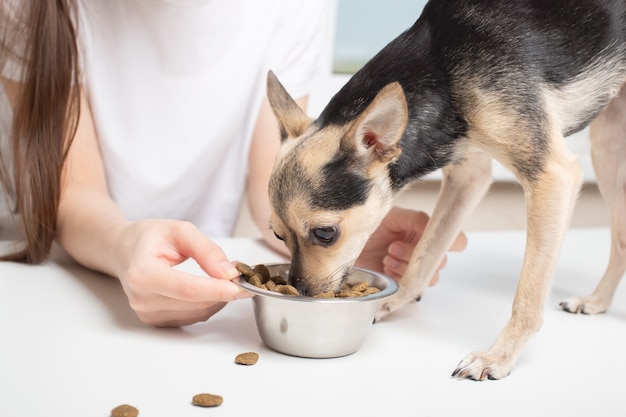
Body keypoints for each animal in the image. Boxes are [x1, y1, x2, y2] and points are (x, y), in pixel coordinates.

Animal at [264, 0, 624, 380]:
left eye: (325, 234)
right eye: (278, 236)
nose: (301, 292)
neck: (444, 70)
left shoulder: (552, 175)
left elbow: (528, 293)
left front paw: (499, 355)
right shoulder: (469, 177)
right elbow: (425, 253)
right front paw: (395, 300)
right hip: (608, 144)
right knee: (621, 238)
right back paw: (597, 301)